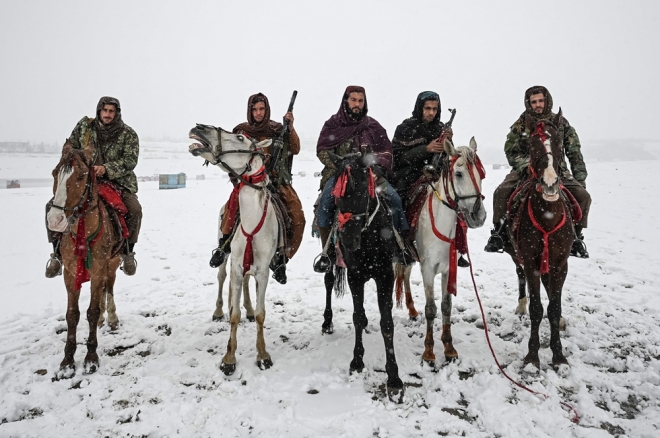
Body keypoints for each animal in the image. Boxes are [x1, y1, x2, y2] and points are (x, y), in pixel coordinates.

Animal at [47, 144, 124, 376]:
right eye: (55, 173)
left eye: (81, 176)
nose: (55, 220)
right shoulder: (70, 273)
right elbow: (72, 315)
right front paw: (67, 361)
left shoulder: (98, 270)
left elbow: (92, 310)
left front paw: (91, 358)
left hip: (112, 263)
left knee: (109, 287)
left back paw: (112, 318)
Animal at [188, 125, 278, 374]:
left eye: (239, 137)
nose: (199, 128)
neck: (251, 223)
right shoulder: (236, 267)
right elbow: (234, 315)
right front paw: (229, 358)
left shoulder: (263, 272)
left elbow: (261, 314)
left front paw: (263, 355)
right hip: (225, 254)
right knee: (221, 277)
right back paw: (219, 311)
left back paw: (247, 307)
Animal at [394, 139, 488, 368]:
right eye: (459, 174)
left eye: (481, 174)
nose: (479, 216)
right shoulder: (428, 269)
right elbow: (431, 309)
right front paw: (428, 352)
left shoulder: (448, 269)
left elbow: (446, 306)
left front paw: (449, 348)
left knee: (406, 275)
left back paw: (411, 309)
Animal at [506, 111, 576, 372]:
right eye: (532, 145)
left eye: (558, 143)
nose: (549, 184)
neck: (548, 216)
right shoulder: (530, 262)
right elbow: (537, 308)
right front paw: (532, 356)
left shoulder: (560, 264)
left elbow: (554, 308)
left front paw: (559, 355)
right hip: (515, 254)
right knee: (519, 275)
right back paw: (520, 304)